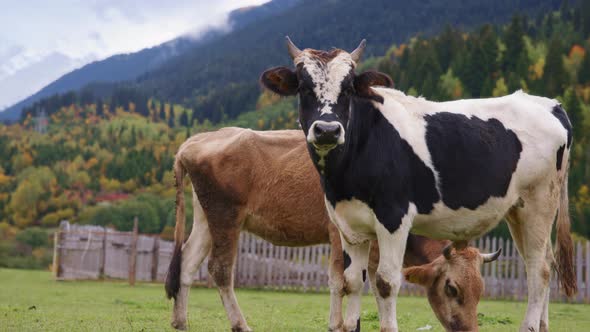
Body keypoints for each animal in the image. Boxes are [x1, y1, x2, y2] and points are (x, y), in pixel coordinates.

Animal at [164, 127, 502, 332]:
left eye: (481, 290)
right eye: (452, 288)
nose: (470, 329)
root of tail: (196, 141)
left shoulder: (376, 247)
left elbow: (374, 284)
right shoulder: (341, 235)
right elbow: (344, 282)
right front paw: (342, 324)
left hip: (206, 220)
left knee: (187, 263)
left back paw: (180, 321)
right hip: (226, 217)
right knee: (220, 269)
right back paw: (240, 325)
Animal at [262, 39, 580, 332]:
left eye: (349, 89)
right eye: (304, 88)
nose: (327, 130)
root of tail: (550, 104)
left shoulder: (394, 218)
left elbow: (386, 282)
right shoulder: (348, 226)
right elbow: (351, 282)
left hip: (540, 201)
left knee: (539, 269)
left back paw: (530, 325)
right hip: (517, 209)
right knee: (542, 260)